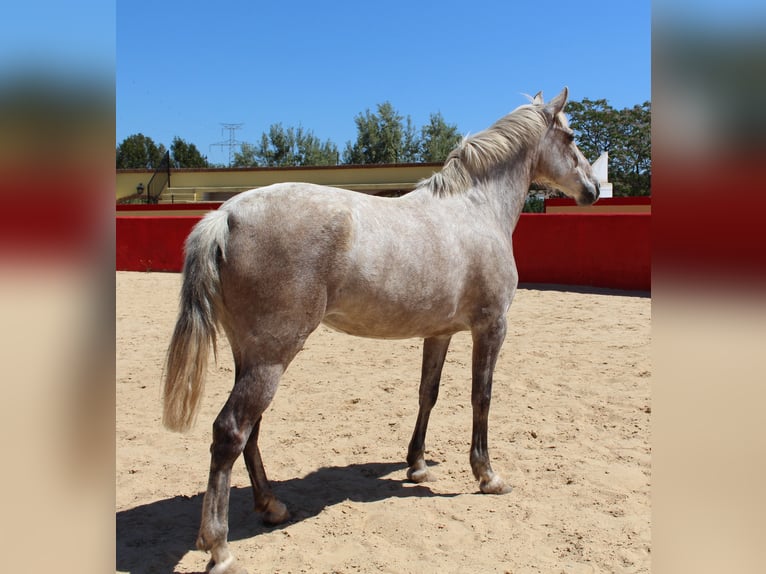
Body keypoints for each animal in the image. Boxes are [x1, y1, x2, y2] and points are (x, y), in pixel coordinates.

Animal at [165, 86, 604, 574]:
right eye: (571, 136)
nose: (593, 189)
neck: (475, 209)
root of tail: (225, 216)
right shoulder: (491, 326)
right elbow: (481, 397)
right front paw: (488, 475)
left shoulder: (440, 333)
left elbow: (428, 393)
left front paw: (417, 466)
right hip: (271, 358)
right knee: (230, 432)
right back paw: (219, 546)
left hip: (253, 355)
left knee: (251, 431)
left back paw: (272, 507)